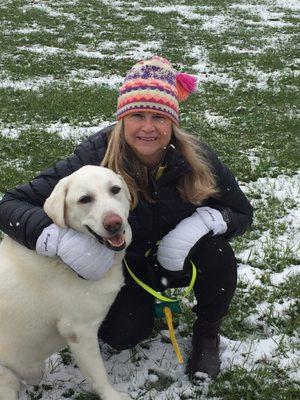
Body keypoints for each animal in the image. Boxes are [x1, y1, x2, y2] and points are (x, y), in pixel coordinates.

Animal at [0, 164, 132, 398]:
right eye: (85, 199)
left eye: (115, 189)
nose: (114, 223)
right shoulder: (80, 331)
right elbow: (99, 375)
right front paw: (113, 395)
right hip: (5, 377)